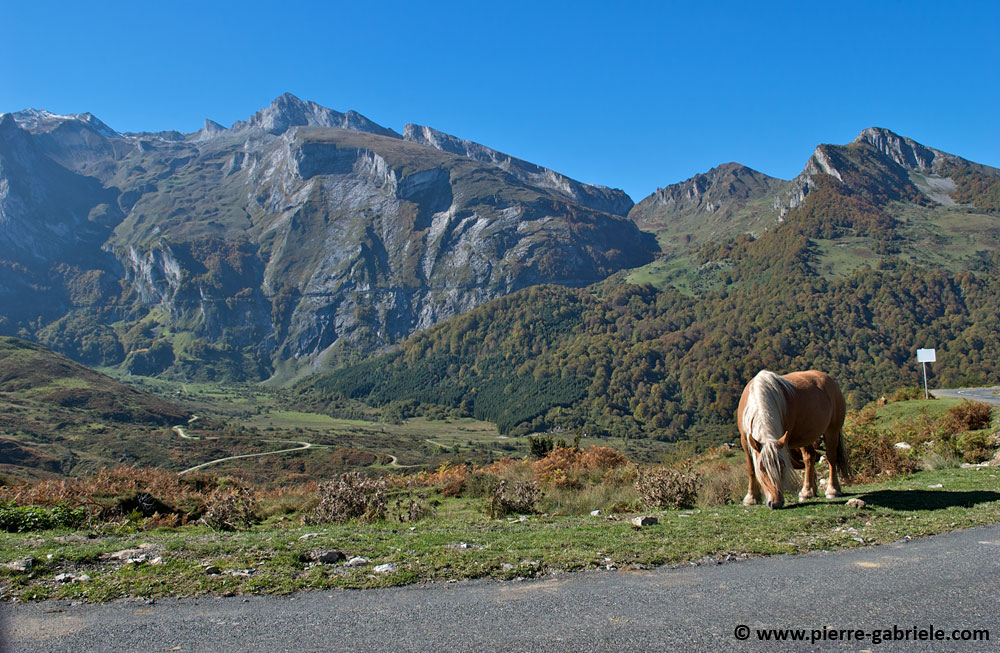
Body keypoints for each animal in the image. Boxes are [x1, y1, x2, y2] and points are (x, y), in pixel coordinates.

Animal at [737, 369, 851, 509]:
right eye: (762, 468)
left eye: (782, 466)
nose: (775, 503)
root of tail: (829, 380)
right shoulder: (745, 441)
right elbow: (751, 469)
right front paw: (751, 498)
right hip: (806, 436)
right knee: (809, 458)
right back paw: (807, 492)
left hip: (832, 431)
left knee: (831, 457)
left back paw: (832, 490)